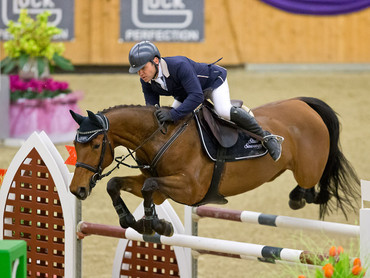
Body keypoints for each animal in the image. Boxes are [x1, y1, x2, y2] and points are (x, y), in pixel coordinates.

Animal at [68, 96, 358, 236]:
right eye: (75, 144)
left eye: (96, 145)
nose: (76, 190)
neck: (161, 137)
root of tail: (304, 104)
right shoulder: (163, 187)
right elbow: (115, 184)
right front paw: (133, 221)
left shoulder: (190, 189)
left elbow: (149, 186)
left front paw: (154, 224)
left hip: (308, 170)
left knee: (316, 190)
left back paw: (296, 194)